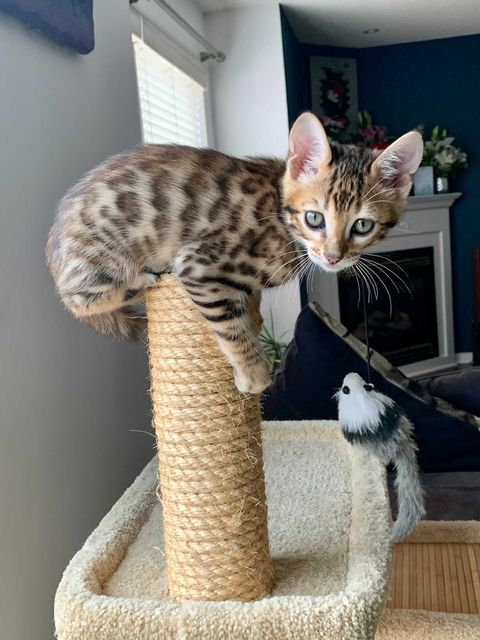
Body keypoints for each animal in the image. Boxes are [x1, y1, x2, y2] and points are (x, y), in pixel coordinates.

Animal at [47, 115, 422, 396]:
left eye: (362, 225)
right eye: (314, 218)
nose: (333, 257)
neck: (280, 216)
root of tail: (54, 251)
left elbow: (247, 300)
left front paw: (254, 317)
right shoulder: (198, 265)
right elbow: (228, 324)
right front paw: (254, 374)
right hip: (105, 257)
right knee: (76, 299)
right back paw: (139, 279)